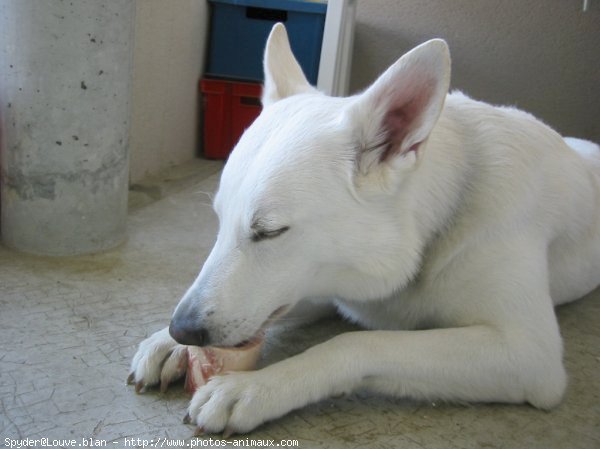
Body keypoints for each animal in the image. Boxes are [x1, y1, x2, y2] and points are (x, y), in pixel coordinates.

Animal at [131, 23, 600, 434]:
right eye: (219, 221)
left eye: (269, 231)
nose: (182, 328)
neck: (437, 222)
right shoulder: (328, 286)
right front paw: (167, 343)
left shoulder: (525, 352)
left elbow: (359, 343)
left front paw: (256, 389)